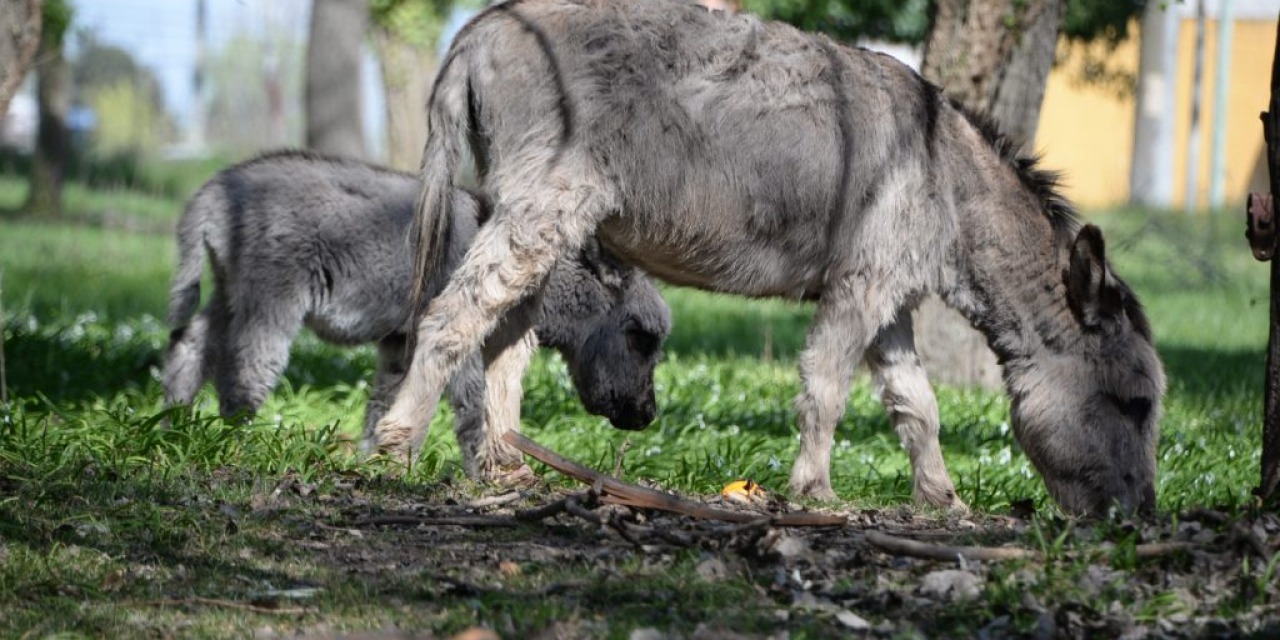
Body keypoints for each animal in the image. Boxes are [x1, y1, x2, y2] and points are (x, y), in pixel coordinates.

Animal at [165, 149, 675, 481]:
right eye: (640, 336)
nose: (647, 416)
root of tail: (217, 189)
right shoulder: (460, 338)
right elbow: (471, 409)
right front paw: (481, 478)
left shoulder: (399, 341)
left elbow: (384, 404)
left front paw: (378, 463)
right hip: (269, 300)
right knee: (243, 376)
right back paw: (237, 447)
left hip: (228, 292)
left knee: (189, 345)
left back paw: (176, 425)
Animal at [373, 0, 1172, 517]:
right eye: (1135, 405)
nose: (1142, 519)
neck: (944, 175)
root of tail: (489, 23)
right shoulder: (861, 287)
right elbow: (826, 385)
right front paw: (814, 490)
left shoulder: (891, 303)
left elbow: (917, 405)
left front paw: (941, 499)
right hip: (544, 204)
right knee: (453, 315)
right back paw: (398, 442)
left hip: (539, 217)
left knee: (507, 335)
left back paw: (503, 461)